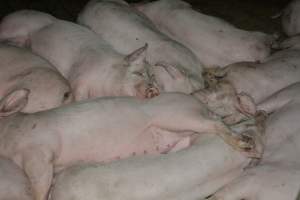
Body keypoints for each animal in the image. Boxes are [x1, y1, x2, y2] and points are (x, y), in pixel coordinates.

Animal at [0, 10, 159, 101]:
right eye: (138, 73)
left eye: (152, 77)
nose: (153, 90)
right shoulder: (79, 77)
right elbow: (78, 93)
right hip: (14, 27)